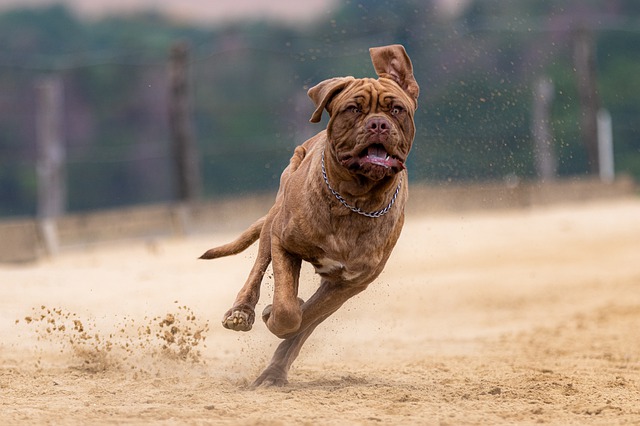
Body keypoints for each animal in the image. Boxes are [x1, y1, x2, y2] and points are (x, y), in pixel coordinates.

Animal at [201, 44, 420, 386]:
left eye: (397, 109)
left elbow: (308, 317)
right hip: (274, 218)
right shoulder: (284, 242)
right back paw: (242, 313)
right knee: (258, 268)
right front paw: (273, 312)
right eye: (353, 109)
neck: (354, 199)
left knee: (307, 323)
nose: (378, 124)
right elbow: (288, 309)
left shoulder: (354, 281)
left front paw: (283, 315)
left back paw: (274, 373)